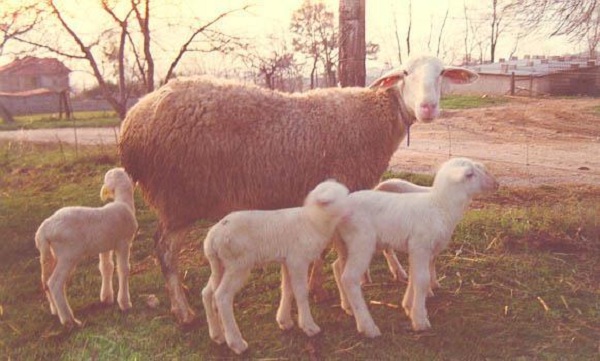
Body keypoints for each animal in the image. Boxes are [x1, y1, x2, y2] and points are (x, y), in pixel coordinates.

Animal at [35, 167, 138, 324]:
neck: (123, 202)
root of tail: (44, 229)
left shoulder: (105, 245)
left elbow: (106, 267)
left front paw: (106, 297)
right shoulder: (123, 242)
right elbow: (123, 269)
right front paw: (125, 303)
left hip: (49, 254)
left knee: (45, 281)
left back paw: (55, 311)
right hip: (68, 255)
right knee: (55, 283)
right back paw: (69, 320)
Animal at [117, 54, 478, 324]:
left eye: (442, 73)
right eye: (405, 73)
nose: (428, 108)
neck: (374, 117)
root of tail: (133, 119)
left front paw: (318, 287)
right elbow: (331, 250)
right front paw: (331, 289)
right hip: (176, 197)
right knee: (164, 249)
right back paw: (182, 310)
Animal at [203, 179, 352, 352]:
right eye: (333, 201)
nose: (351, 211)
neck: (313, 221)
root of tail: (212, 238)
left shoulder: (288, 261)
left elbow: (287, 289)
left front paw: (284, 321)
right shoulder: (297, 260)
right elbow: (301, 292)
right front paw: (309, 326)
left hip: (220, 265)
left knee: (207, 293)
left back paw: (217, 335)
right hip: (237, 264)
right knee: (222, 296)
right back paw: (237, 343)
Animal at [332, 156, 496, 336]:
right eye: (470, 174)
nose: (495, 183)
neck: (441, 205)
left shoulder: (417, 249)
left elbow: (414, 276)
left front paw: (408, 306)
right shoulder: (421, 246)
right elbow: (422, 280)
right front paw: (420, 319)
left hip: (343, 243)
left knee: (337, 267)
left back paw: (348, 306)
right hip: (361, 241)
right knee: (349, 278)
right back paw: (367, 326)